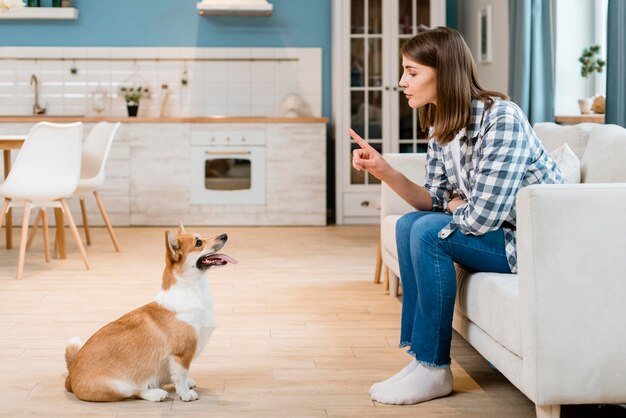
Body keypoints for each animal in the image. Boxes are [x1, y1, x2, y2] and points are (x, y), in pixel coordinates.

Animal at [64, 224, 236, 404]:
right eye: (198, 242)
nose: (225, 235)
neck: (191, 289)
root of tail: (70, 377)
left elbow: (179, 376)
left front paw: (187, 384)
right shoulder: (181, 355)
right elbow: (181, 376)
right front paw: (185, 394)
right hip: (118, 386)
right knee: (136, 391)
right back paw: (156, 393)